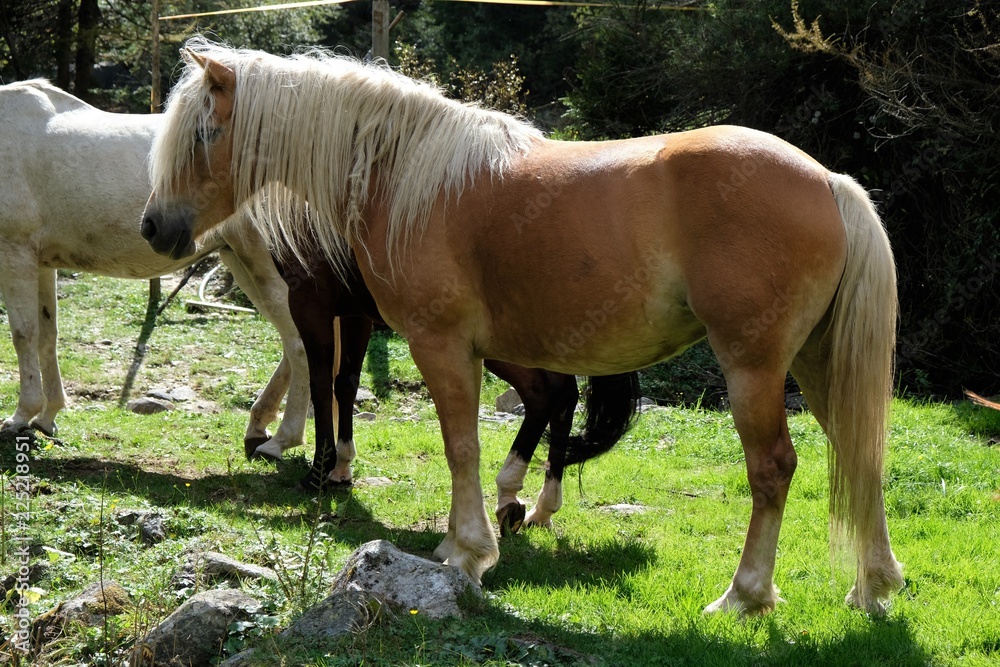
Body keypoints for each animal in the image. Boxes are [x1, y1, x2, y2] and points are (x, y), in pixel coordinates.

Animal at [0, 78, 309, 460]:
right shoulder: (42, 263)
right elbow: (47, 335)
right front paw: (47, 416)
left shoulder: (14, 255)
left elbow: (22, 334)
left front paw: (20, 417)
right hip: (240, 261)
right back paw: (259, 427)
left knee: (300, 344)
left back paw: (282, 440)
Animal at [272, 242, 639, 533]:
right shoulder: (353, 310)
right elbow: (345, 383)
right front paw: (340, 468)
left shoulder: (310, 299)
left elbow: (321, 385)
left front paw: (319, 470)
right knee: (561, 396)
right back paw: (537, 506)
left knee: (547, 394)